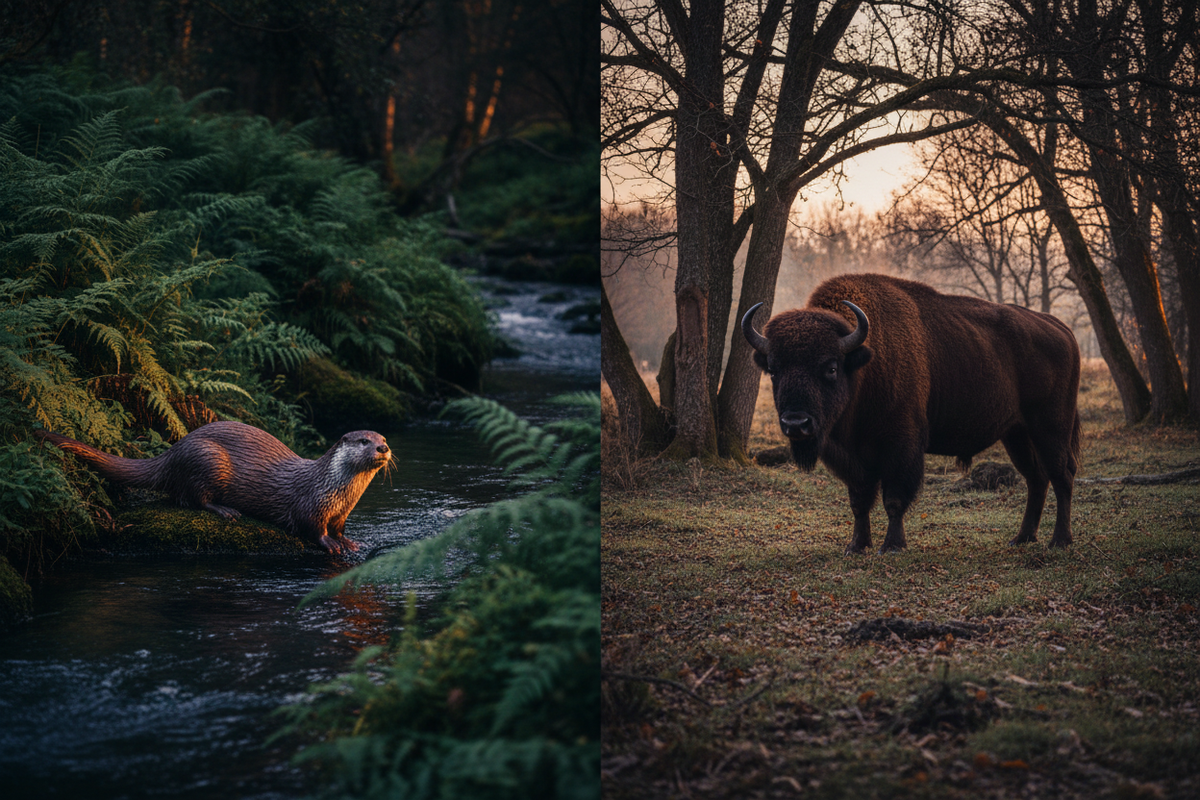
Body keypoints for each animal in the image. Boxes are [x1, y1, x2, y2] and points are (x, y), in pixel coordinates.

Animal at [35, 422, 392, 554]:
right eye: (364, 441)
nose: (384, 448)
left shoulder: (341, 513)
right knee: (192, 499)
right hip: (207, 459)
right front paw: (330, 544)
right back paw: (225, 510)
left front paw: (350, 541)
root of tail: (174, 450)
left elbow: (340, 528)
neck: (335, 489)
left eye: (383, 437)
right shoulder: (311, 504)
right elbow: (311, 528)